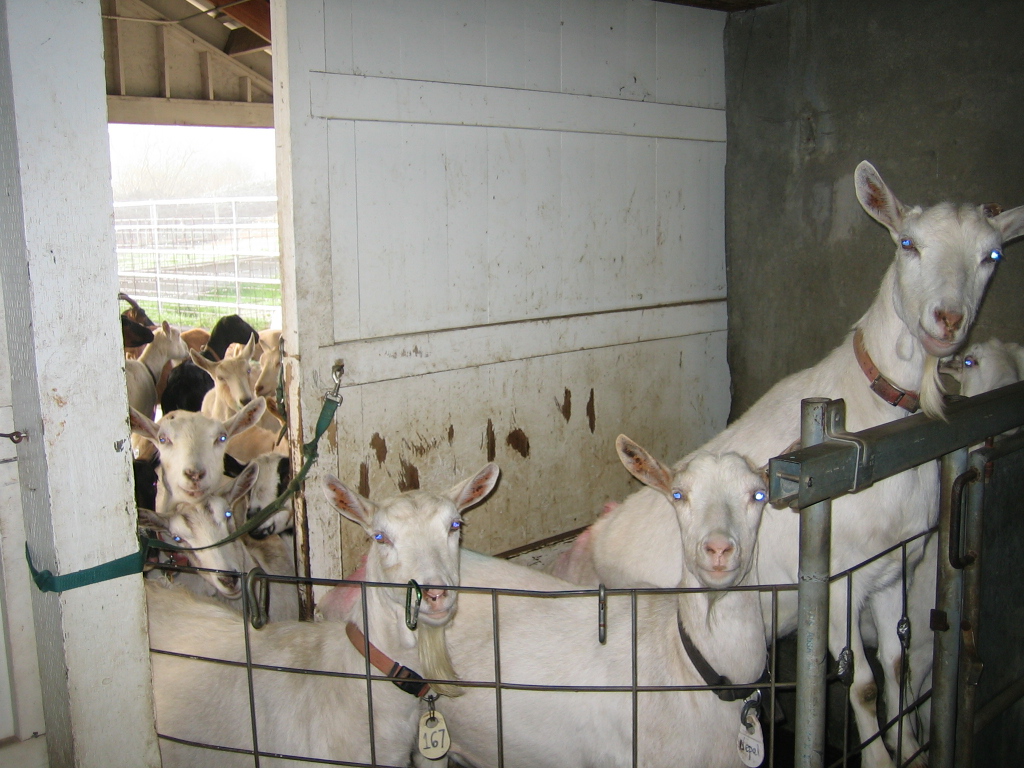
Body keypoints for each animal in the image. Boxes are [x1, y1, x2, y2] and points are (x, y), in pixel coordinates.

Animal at [565, 162, 1024, 768]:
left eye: (991, 255)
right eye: (908, 244)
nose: (946, 320)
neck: (878, 416)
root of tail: (587, 540)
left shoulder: (891, 571)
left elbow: (897, 665)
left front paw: (910, 748)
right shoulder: (834, 582)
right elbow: (863, 684)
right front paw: (880, 757)